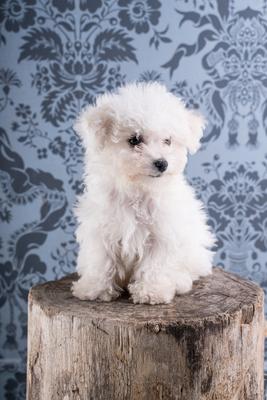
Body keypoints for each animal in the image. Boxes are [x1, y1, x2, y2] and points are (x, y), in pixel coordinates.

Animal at [72, 83, 217, 304]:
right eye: (134, 140)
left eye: (168, 141)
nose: (162, 163)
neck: (138, 189)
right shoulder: (101, 227)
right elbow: (101, 259)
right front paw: (94, 288)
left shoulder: (163, 233)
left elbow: (155, 264)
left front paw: (151, 291)